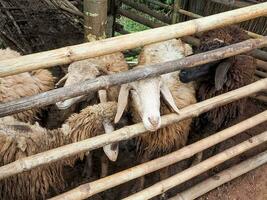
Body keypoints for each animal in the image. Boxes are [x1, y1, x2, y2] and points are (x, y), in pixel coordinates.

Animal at [115, 38, 197, 196]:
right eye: (133, 90)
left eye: (159, 89)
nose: (153, 120)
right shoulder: (146, 142)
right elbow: (143, 163)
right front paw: (138, 187)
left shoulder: (171, 141)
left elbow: (164, 167)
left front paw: (163, 189)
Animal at [180, 25, 258, 163]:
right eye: (198, 52)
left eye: (212, 61)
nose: (182, 73)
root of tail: (236, 26)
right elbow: (202, 136)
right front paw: (195, 158)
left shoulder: (229, 113)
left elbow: (220, 137)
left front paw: (215, 157)